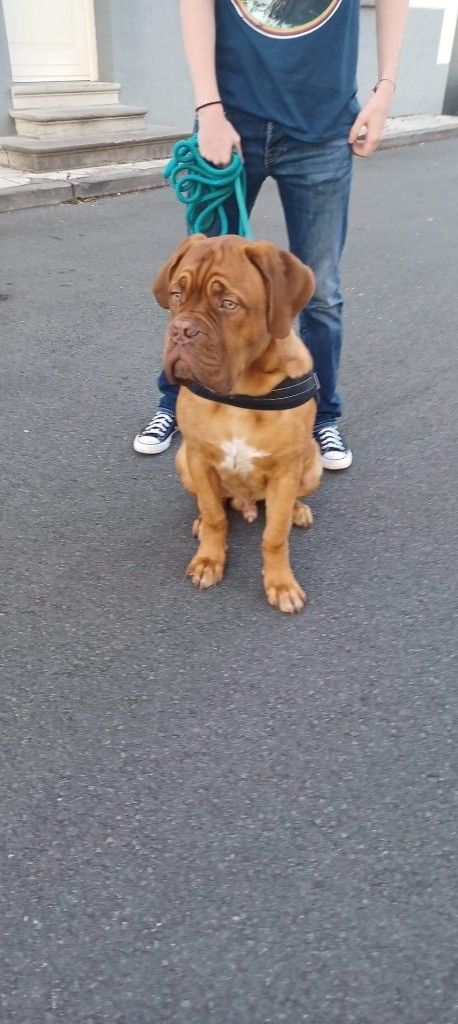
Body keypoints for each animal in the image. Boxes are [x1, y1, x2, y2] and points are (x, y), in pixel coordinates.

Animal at [153, 234, 322, 613]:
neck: (241, 395)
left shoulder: (285, 472)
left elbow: (275, 536)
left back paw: (298, 510)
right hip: (182, 461)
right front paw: (208, 560)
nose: (181, 331)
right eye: (176, 294)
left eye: (228, 304)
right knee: (213, 504)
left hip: (313, 464)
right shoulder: (199, 458)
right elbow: (215, 514)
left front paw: (281, 584)